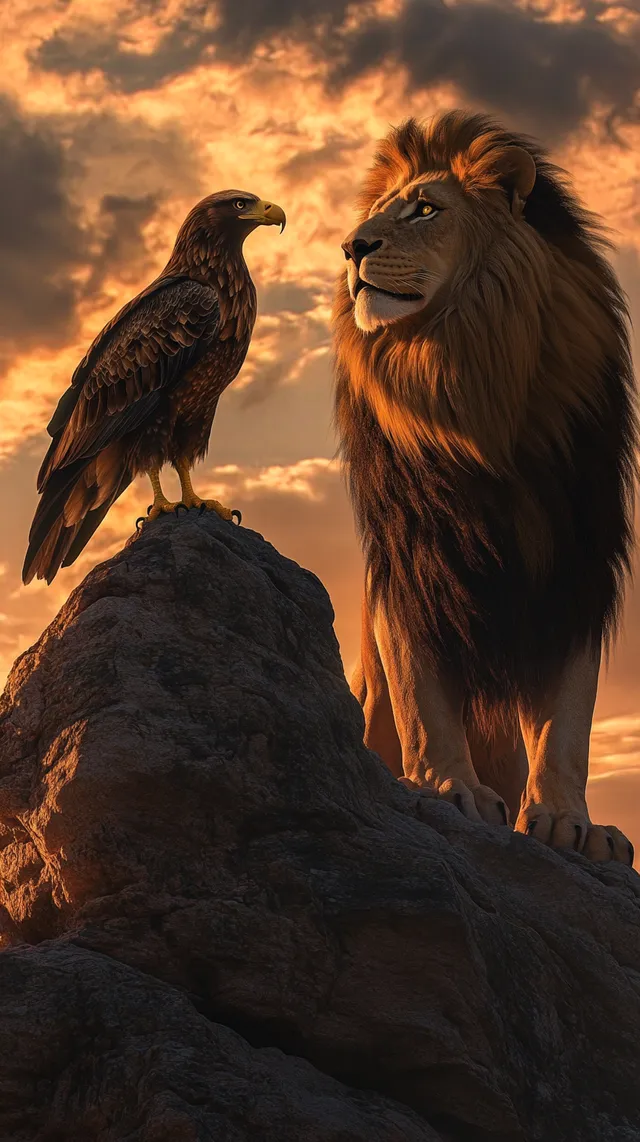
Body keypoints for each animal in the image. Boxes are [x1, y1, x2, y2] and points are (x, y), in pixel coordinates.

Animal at [333, 111, 637, 864]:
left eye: (426, 209)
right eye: (381, 211)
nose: (351, 246)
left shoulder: (577, 564)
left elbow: (567, 721)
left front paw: (571, 822)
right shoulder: (411, 559)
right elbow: (424, 697)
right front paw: (451, 789)